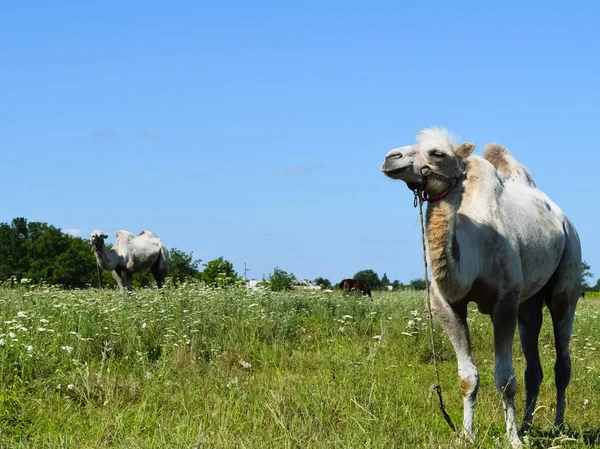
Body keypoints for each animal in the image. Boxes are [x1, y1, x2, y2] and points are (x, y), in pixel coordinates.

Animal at [380, 127, 580, 448]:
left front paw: (512, 439)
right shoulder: (447, 305)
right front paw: (466, 434)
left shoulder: (504, 302)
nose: (390, 157)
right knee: (533, 365)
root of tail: (563, 219)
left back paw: (558, 427)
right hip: (528, 302)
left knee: (562, 360)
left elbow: (505, 378)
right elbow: (468, 377)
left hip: (567, 276)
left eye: (438, 153)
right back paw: (527, 425)